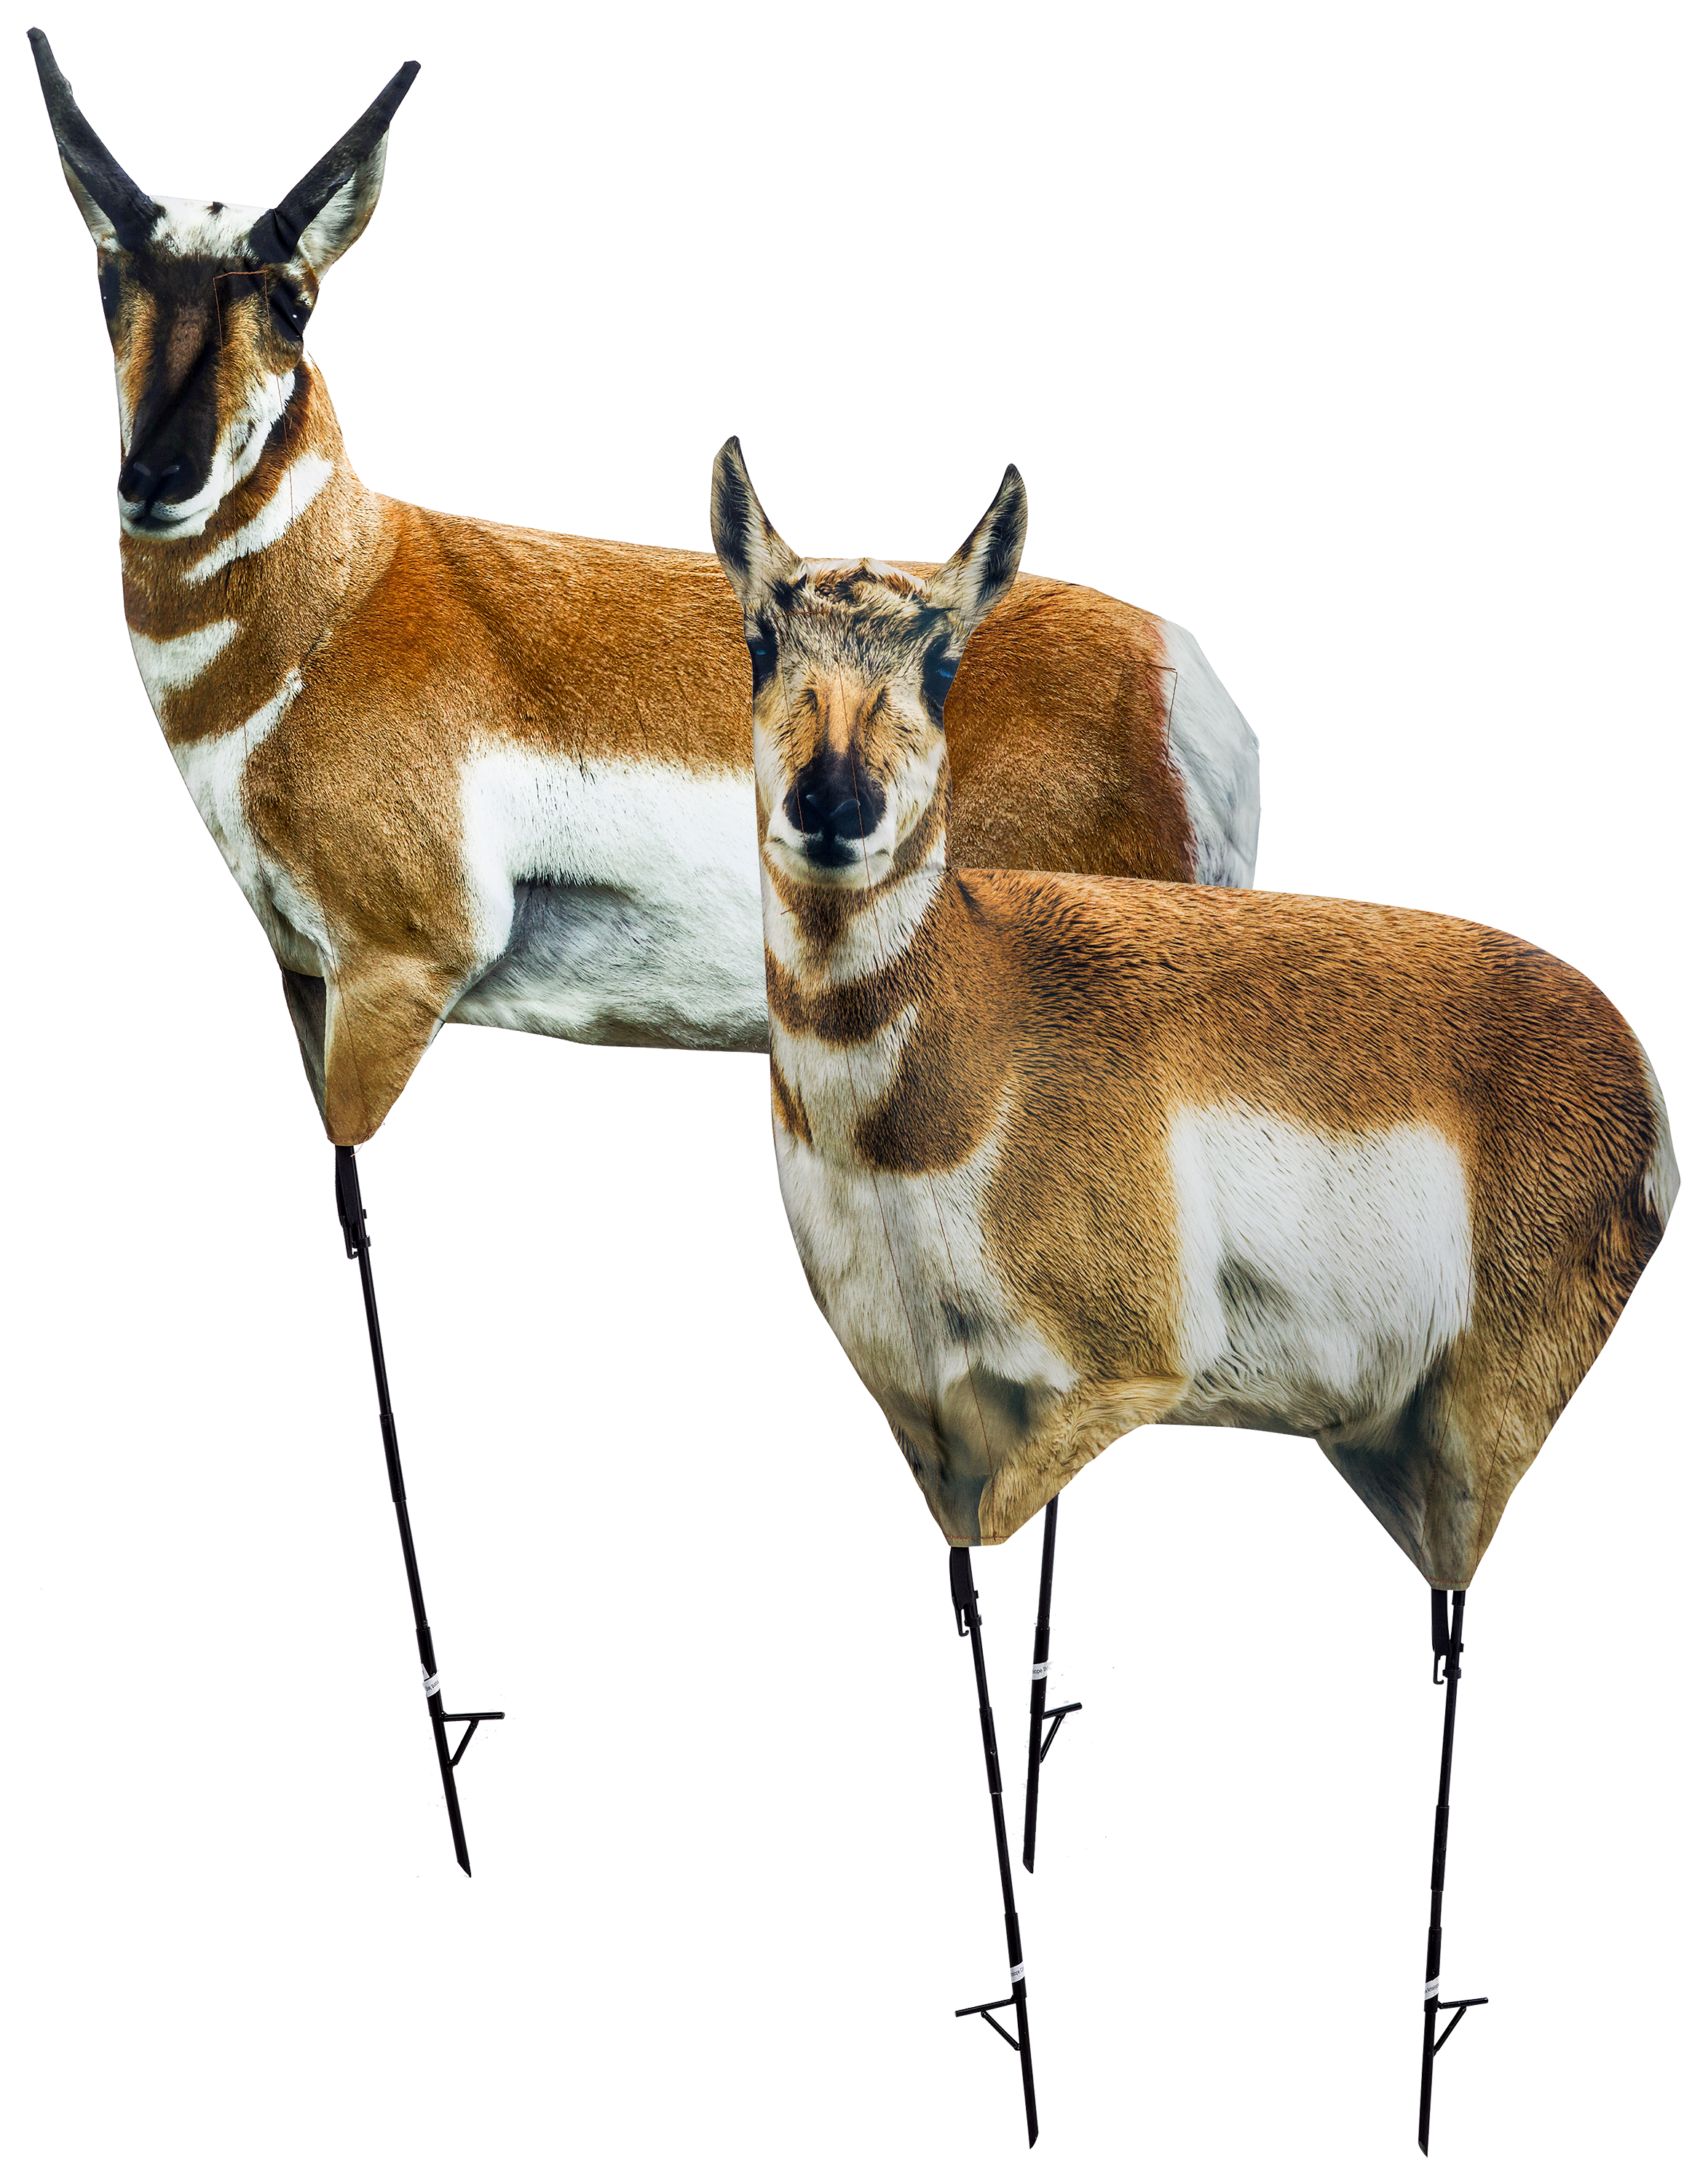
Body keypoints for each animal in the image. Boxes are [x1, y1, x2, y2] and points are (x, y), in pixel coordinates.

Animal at [30, 31, 1260, 1152]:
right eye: (109, 281)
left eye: (293, 303)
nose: (156, 479)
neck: (348, 593)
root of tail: (1176, 672)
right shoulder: (303, 983)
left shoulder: (393, 976)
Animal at [711, 438, 1677, 2147]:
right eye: (762, 635)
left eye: (943, 656)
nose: (837, 805)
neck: (961, 1046)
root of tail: (1632, 1060)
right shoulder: (925, 1419)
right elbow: (966, 1605)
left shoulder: (1118, 1380)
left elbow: (998, 1553)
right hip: (1381, 1444)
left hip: (1473, 1439)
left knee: (1455, 1634)